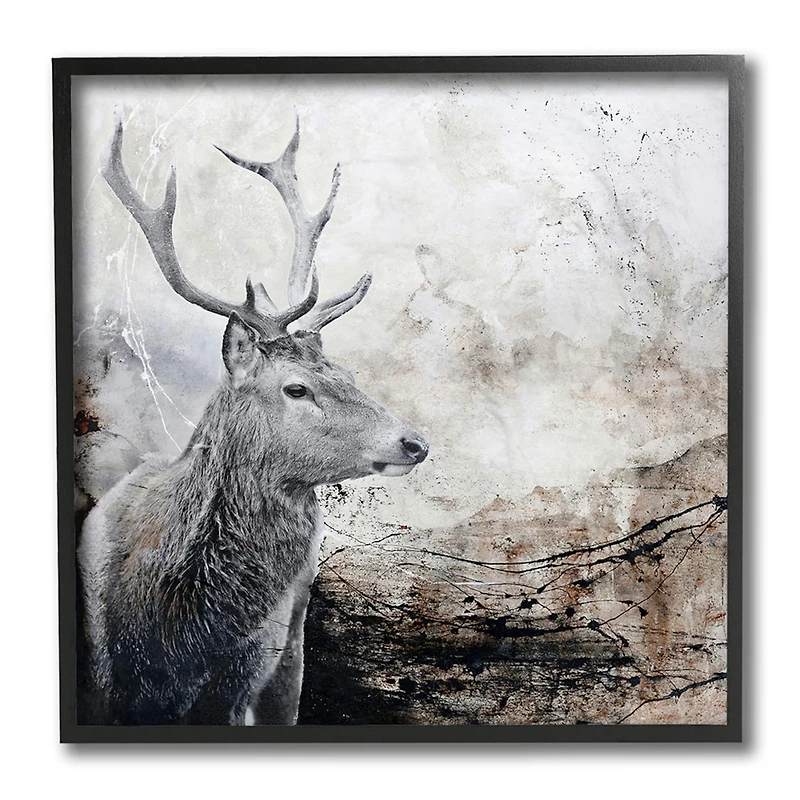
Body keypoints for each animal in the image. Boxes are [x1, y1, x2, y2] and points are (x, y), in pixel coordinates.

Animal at [78, 114, 429, 726]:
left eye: (349, 374)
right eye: (297, 388)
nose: (414, 442)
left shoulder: (239, 683)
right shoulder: (104, 676)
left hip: (289, 649)